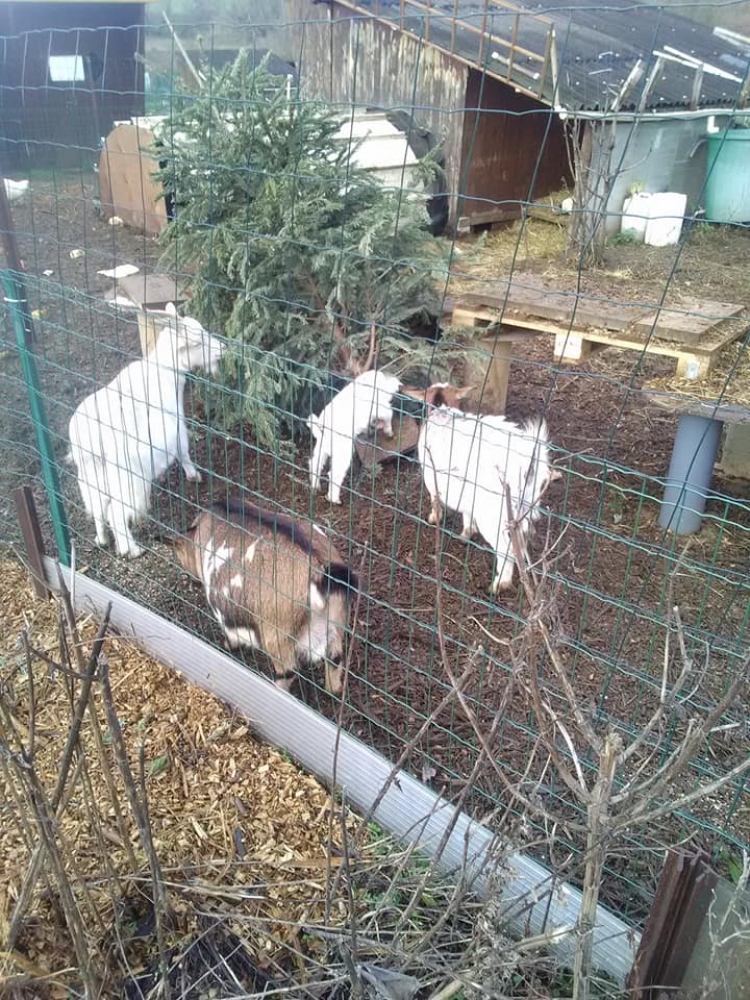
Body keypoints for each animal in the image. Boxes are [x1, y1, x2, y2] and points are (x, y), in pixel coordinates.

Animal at [68, 303, 224, 558]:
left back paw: (102, 539)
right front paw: (194, 475)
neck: (163, 371)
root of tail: (91, 441)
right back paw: (131, 549)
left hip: (92, 476)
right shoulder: (177, 425)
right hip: (125, 476)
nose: (223, 349)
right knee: (116, 513)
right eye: (197, 342)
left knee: (99, 508)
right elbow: (184, 450)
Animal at [172, 500, 358, 694]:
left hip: (277, 633)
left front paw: (229, 645)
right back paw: (333, 690)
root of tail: (322, 573)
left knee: (288, 670)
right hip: (336, 622)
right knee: (335, 659)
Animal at [307, 369, 402, 504]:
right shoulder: (380, 408)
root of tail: (322, 431)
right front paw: (388, 432)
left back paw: (315, 487)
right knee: (334, 474)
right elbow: (389, 415)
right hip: (343, 453)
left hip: (322, 448)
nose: (399, 385)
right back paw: (335, 499)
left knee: (315, 463)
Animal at [404, 383, 556, 593]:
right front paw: (467, 532)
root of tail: (526, 460)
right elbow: (467, 510)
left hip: (494, 510)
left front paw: (434, 518)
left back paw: (501, 583)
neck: (442, 411)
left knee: (506, 547)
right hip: (523, 505)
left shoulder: (431, 476)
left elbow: (435, 500)